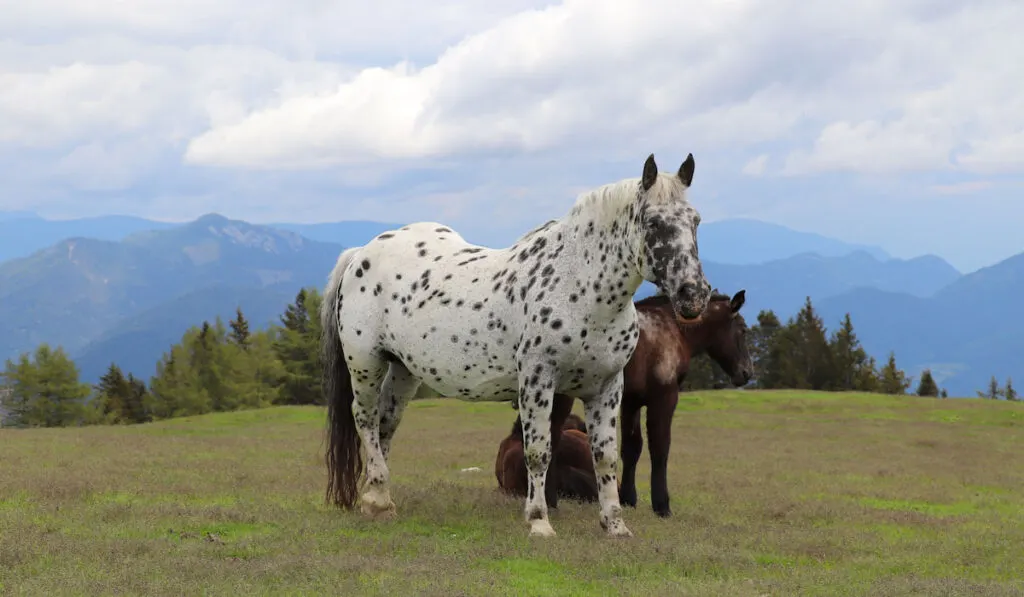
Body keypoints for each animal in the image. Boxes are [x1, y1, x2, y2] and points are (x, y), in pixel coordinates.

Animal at [323, 151, 708, 540]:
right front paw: (539, 522)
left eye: (695, 221)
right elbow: (538, 451)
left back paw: (378, 499)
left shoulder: (607, 387)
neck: (580, 289)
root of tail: (361, 254)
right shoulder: (538, 381)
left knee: (386, 424)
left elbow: (605, 457)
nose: (693, 295)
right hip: (366, 363)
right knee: (365, 418)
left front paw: (615, 525)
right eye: (653, 223)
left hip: (403, 369)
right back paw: (377, 498)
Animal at [614, 288, 753, 518]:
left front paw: (627, 498)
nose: (747, 373)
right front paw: (662, 505)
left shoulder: (630, 401)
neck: (673, 330)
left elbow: (631, 448)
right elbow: (660, 448)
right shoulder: (664, 397)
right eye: (743, 330)